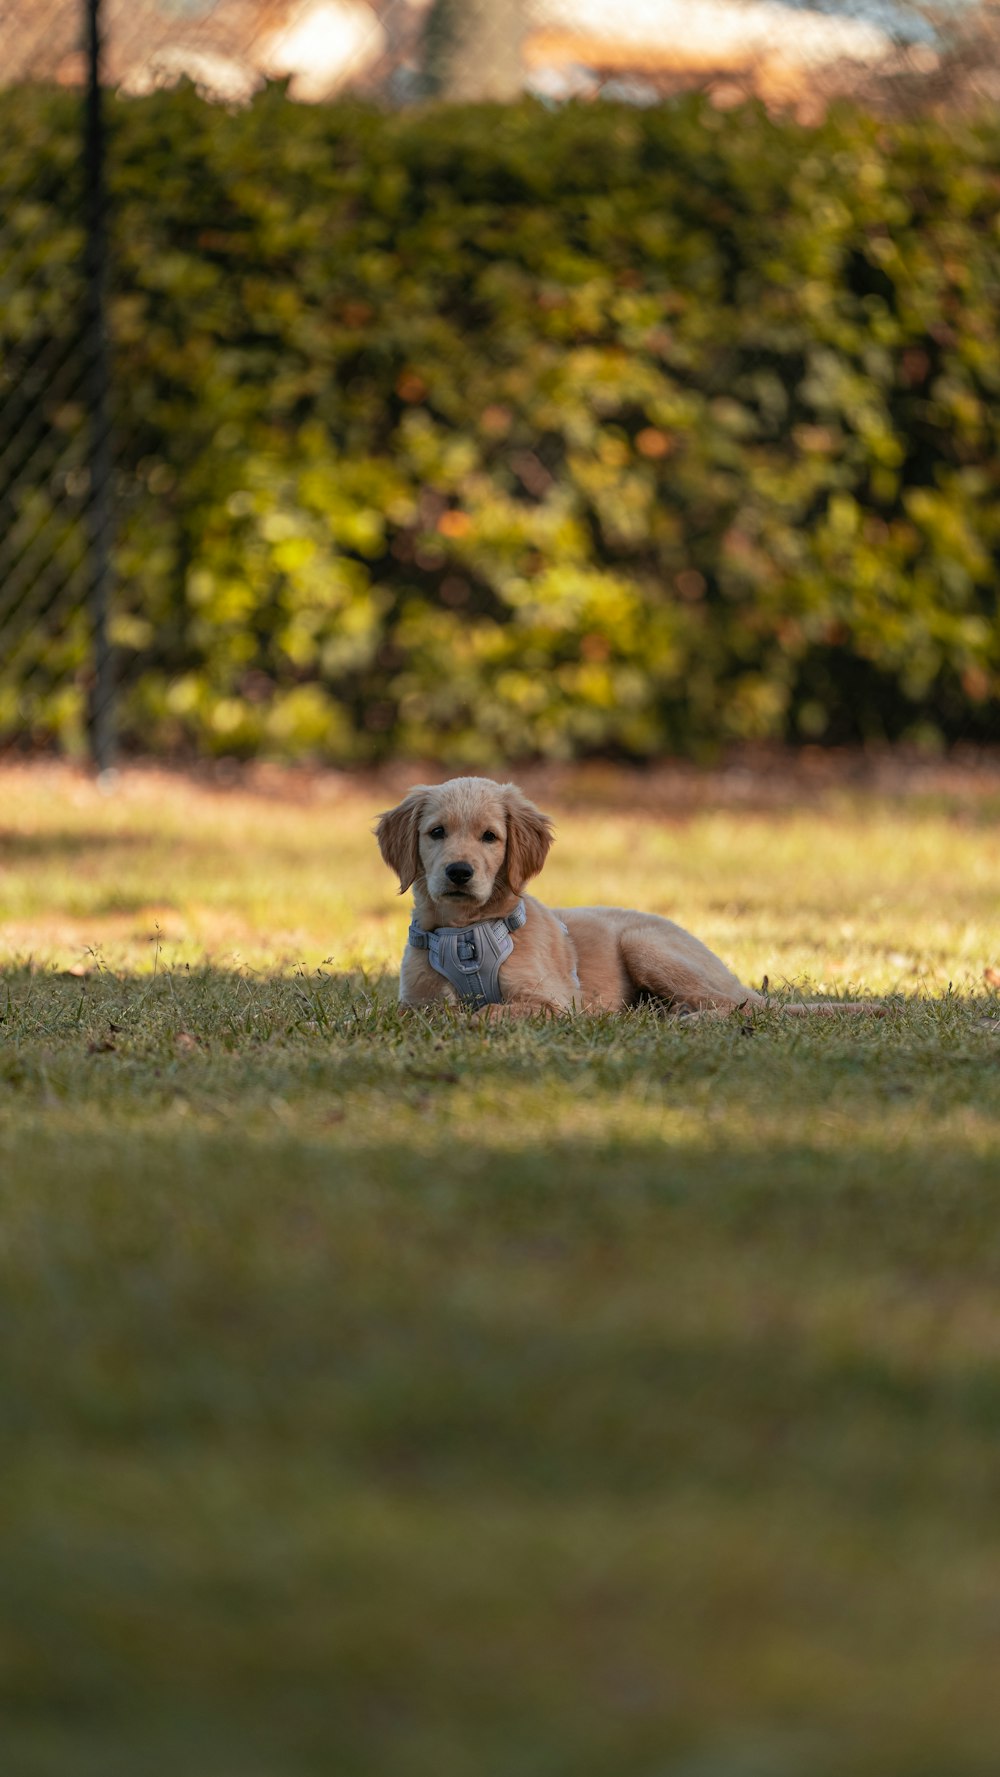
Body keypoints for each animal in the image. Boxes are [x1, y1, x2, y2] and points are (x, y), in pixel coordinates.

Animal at [380, 774, 873, 1023]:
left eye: (490, 837)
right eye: (437, 832)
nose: (459, 872)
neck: (465, 932)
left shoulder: (556, 1002)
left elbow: (490, 1011)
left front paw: (468, 1018)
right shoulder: (413, 999)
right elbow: (409, 1012)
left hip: (646, 944)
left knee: (739, 1008)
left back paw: (692, 1021)